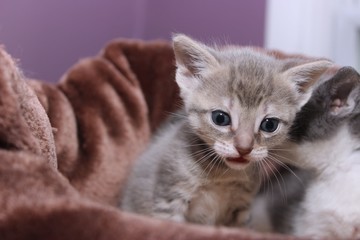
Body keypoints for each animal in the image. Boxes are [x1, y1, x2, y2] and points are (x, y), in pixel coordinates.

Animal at [120, 34, 332, 227]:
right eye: (220, 118)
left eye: (269, 125)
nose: (244, 148)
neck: (223, 175)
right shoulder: (168, 200)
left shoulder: (242, 209)